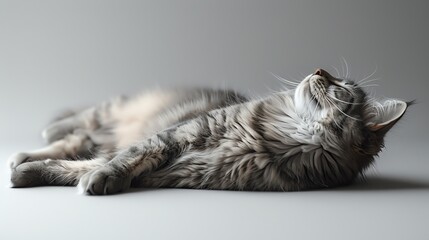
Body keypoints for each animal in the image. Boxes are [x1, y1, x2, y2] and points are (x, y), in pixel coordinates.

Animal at [5, 68, 408, 194]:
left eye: (340, 87)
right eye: (330, 75)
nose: (320, 70)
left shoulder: (181, 172)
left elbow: (79, 169)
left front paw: (28, 175)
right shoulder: (176, 135)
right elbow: (124, 157)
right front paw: (26, 173)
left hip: (105, 133)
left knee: (82, 142)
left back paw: (20, 158)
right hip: (116, 111)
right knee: (80, 125)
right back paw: (38, 139)